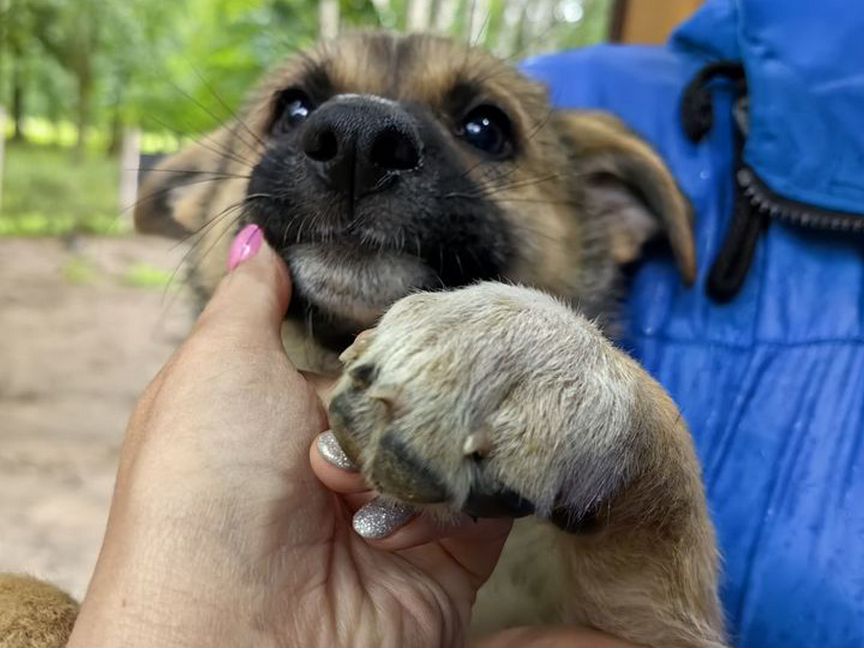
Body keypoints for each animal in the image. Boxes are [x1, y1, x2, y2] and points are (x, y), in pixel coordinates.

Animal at [1, 31, 728, 648]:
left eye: (487, 128)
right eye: (293, 107)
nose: (357, 137)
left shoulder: (653, 622)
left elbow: (673, 478)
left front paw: (518, 351)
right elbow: (30, 588)